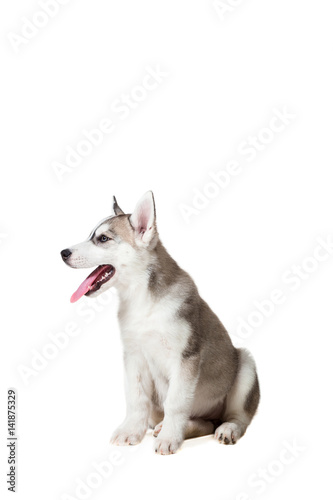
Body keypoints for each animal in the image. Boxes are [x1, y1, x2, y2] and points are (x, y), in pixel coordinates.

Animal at [61, 191, 260, 454]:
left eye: (103, 239)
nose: (63, 253)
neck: (141, 300)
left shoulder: (186, 357)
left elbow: (176, 402)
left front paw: (169, 439)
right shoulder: (133, 356)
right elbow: (136, 398)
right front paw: (131, 431)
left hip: (245, 364)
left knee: (238, 417)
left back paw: (226, 429)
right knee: (205, 422)